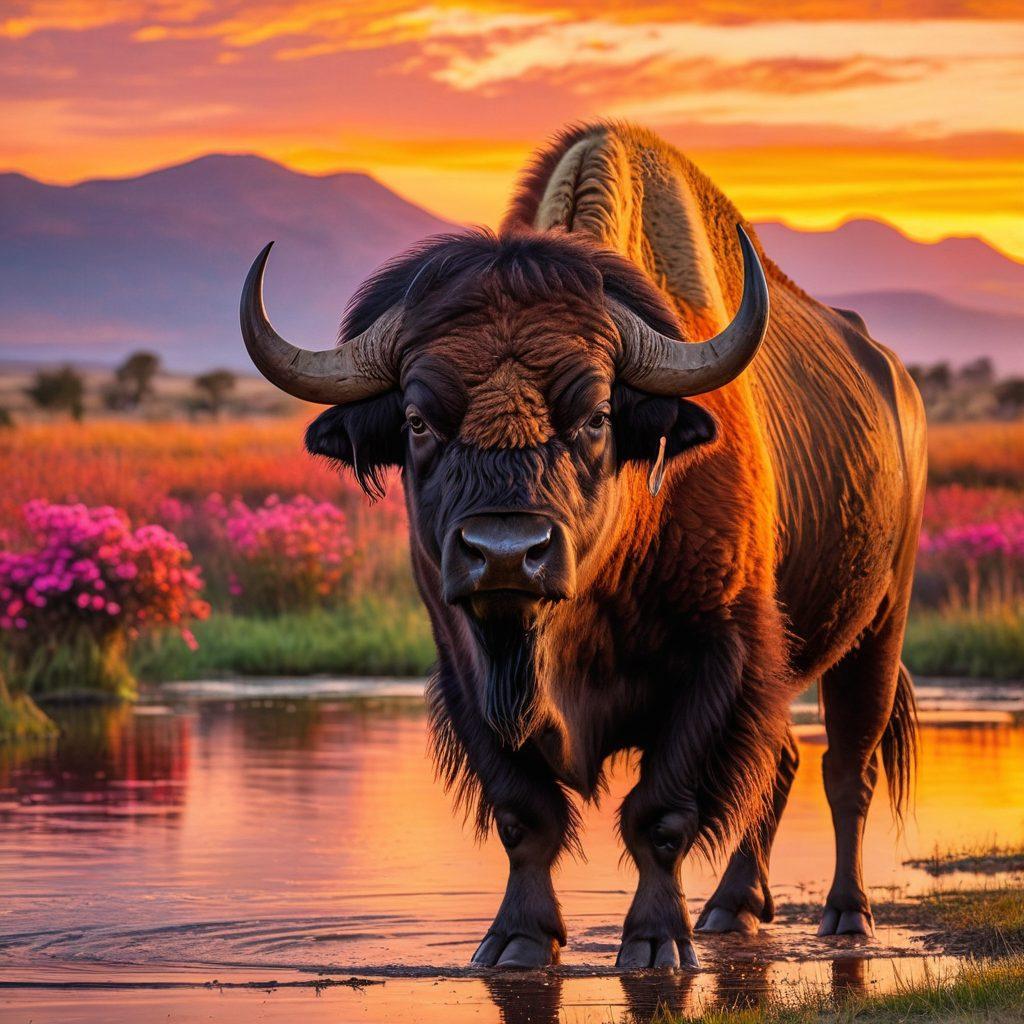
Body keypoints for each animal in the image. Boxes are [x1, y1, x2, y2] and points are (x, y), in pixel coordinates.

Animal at [240, 122, 926, 970]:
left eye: (597, 415)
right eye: (417, 420)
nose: (506, 552)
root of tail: (896, 382)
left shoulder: (720, 659)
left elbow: (659, 814)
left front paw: (656, 944)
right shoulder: (465, 667)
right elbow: (525, 816)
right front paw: (516, 942)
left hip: (878, 627)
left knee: (844, 769)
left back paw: (846, 917)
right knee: (781, 764)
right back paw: (732, 909)